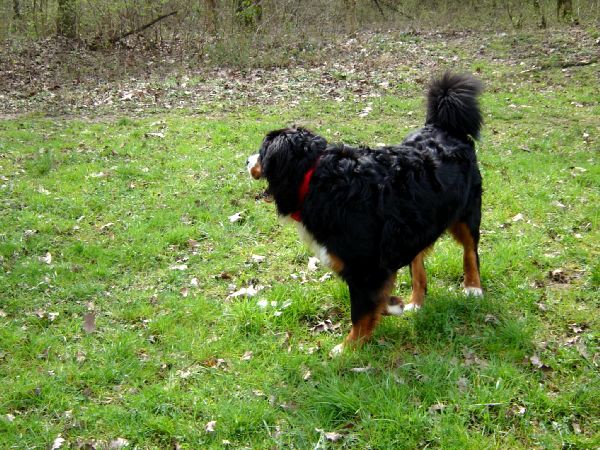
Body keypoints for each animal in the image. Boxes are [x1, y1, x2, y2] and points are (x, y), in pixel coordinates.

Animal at [246, 73, 486, 356]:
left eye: (262, 151)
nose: (247, 161)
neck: (318, 178)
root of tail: (444, 127)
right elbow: (377, 299)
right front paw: (393, 304)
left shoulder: (365, 267)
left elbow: (360, 313)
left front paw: (348, 347)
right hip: (418, 221)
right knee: (417, 261)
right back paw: (416, 301)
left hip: (466, 214)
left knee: (470, 252)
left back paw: (473, 288)